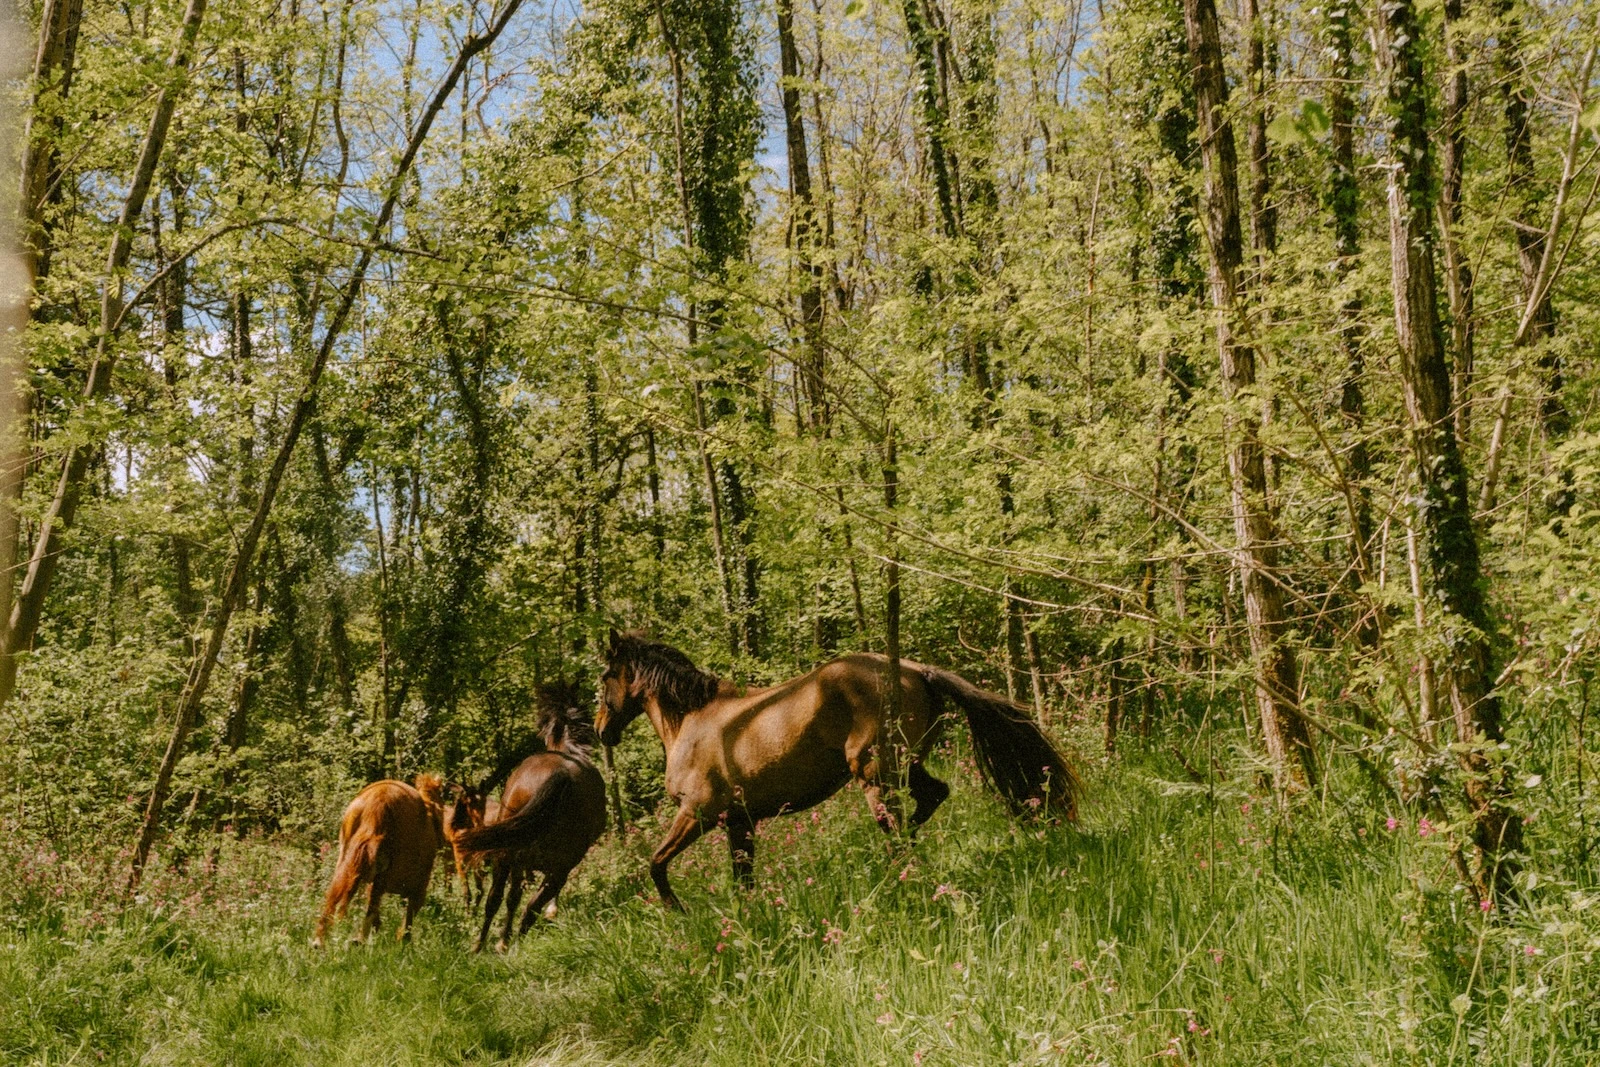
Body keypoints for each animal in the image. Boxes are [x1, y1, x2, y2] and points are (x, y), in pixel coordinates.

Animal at [312, 773, 451, 946]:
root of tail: (378, 800)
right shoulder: (418, 888)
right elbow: (407, 923)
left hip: (346, 861)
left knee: (335, 896)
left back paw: (320, 940)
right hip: (384, 874)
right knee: (372, 906)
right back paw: (359, 940)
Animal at [456, 681, 608, 953]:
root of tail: (560, 773)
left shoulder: (518, 863)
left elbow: (510, 899)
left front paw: (501, 940)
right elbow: (516, 899)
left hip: (510, 858)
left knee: (500, 901)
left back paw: (485, 945)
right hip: (552, 867)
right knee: (525, 907)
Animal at [596, 629, 1080, 910]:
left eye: (603, 678)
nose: (601, 731)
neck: (694, 721)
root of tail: (912, 670)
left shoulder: (697, 813)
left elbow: (656, 864)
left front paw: (676, 911)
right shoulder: (739, 821)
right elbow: (742, 880)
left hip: (874, 777)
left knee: (900, 829)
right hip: (903, 767)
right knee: (931, 799)